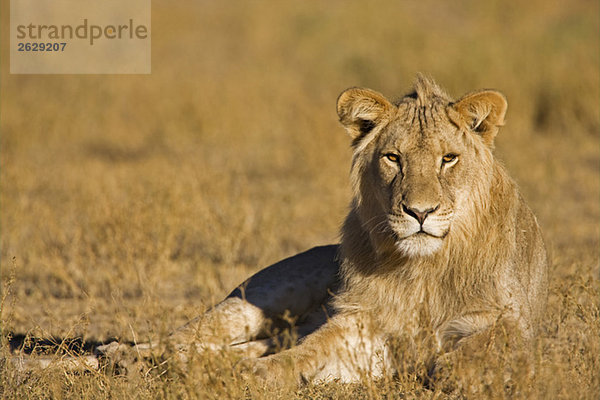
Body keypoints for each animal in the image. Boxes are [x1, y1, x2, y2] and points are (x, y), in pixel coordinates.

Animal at [98, 75, 548, 388]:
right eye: (393, 158)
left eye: (449, 159)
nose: (419, 212)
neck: (424, 268)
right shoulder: (360, 321)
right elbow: (307, 351)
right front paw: (258, 377)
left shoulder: (511, 321)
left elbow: (485, 345)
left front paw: (453, 369)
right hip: (256, 299)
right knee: (182, 338)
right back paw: (121, 356)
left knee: (239, 346)